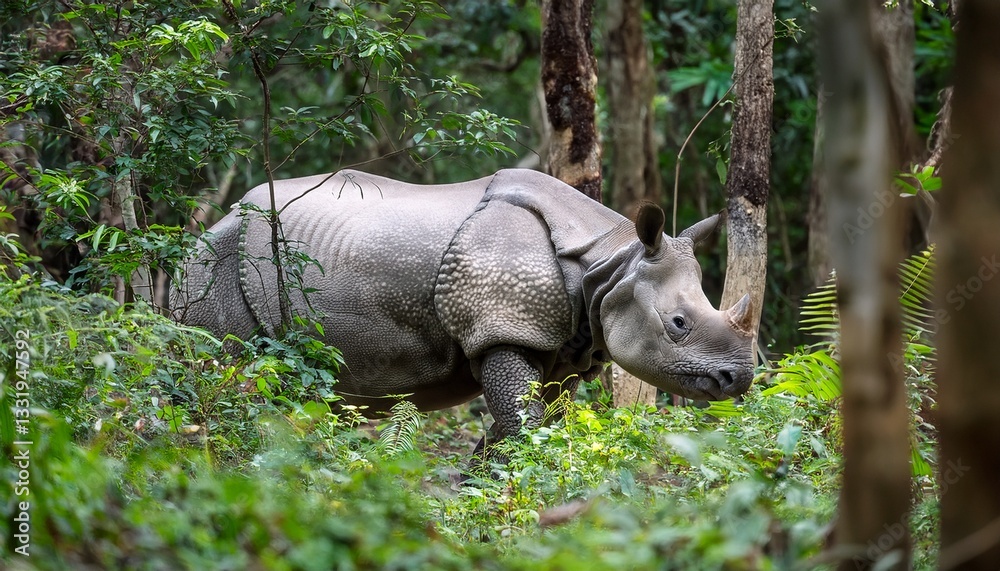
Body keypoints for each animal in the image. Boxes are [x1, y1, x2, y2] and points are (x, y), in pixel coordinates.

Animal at [171, 168, 755, 453]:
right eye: (678, 324)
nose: (739, 379)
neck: (609, 260)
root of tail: (208, 227)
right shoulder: (504, 325)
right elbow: (523, 424)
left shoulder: (566, 344)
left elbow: (526, 423)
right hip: (216, 261)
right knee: (226, 372)